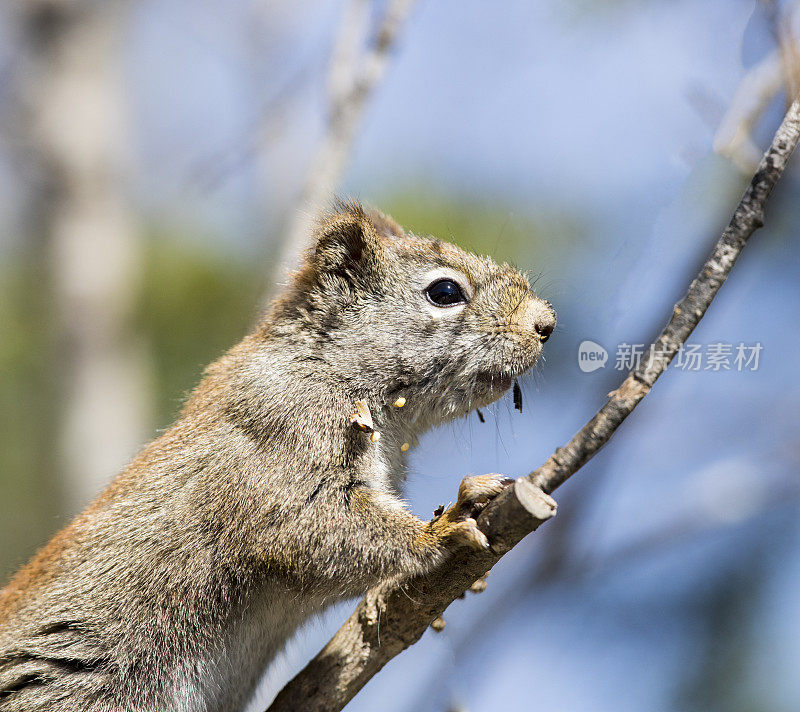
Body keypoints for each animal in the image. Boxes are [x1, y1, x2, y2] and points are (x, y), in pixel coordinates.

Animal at [0, 200, 556, 712]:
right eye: (445, 292)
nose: (546, 322)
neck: (327, 369)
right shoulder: (280, 443)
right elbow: (316, 533)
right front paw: (443, 527)